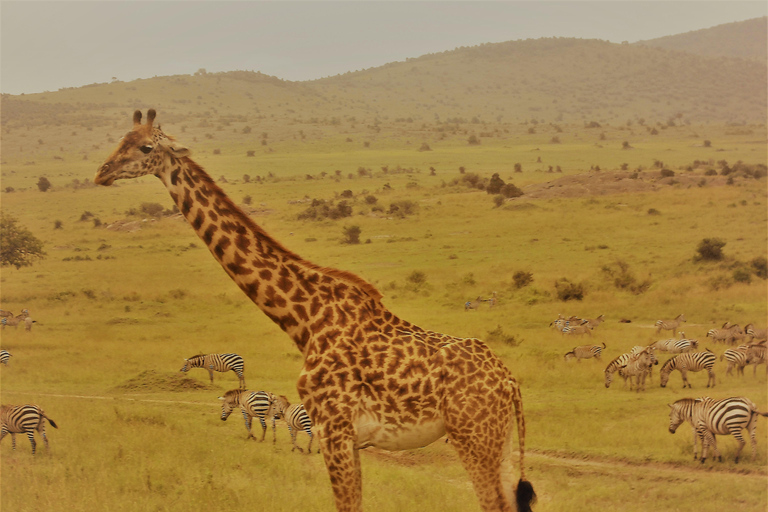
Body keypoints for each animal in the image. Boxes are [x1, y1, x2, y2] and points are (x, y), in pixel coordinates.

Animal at [94, 111, 536, 512]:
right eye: (120, 139)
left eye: (145, 147)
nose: (101, 172)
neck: (305, 320)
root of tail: (509, 382)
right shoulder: (345, 436)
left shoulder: (333, 427)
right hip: (499, 441)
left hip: (474, 436)